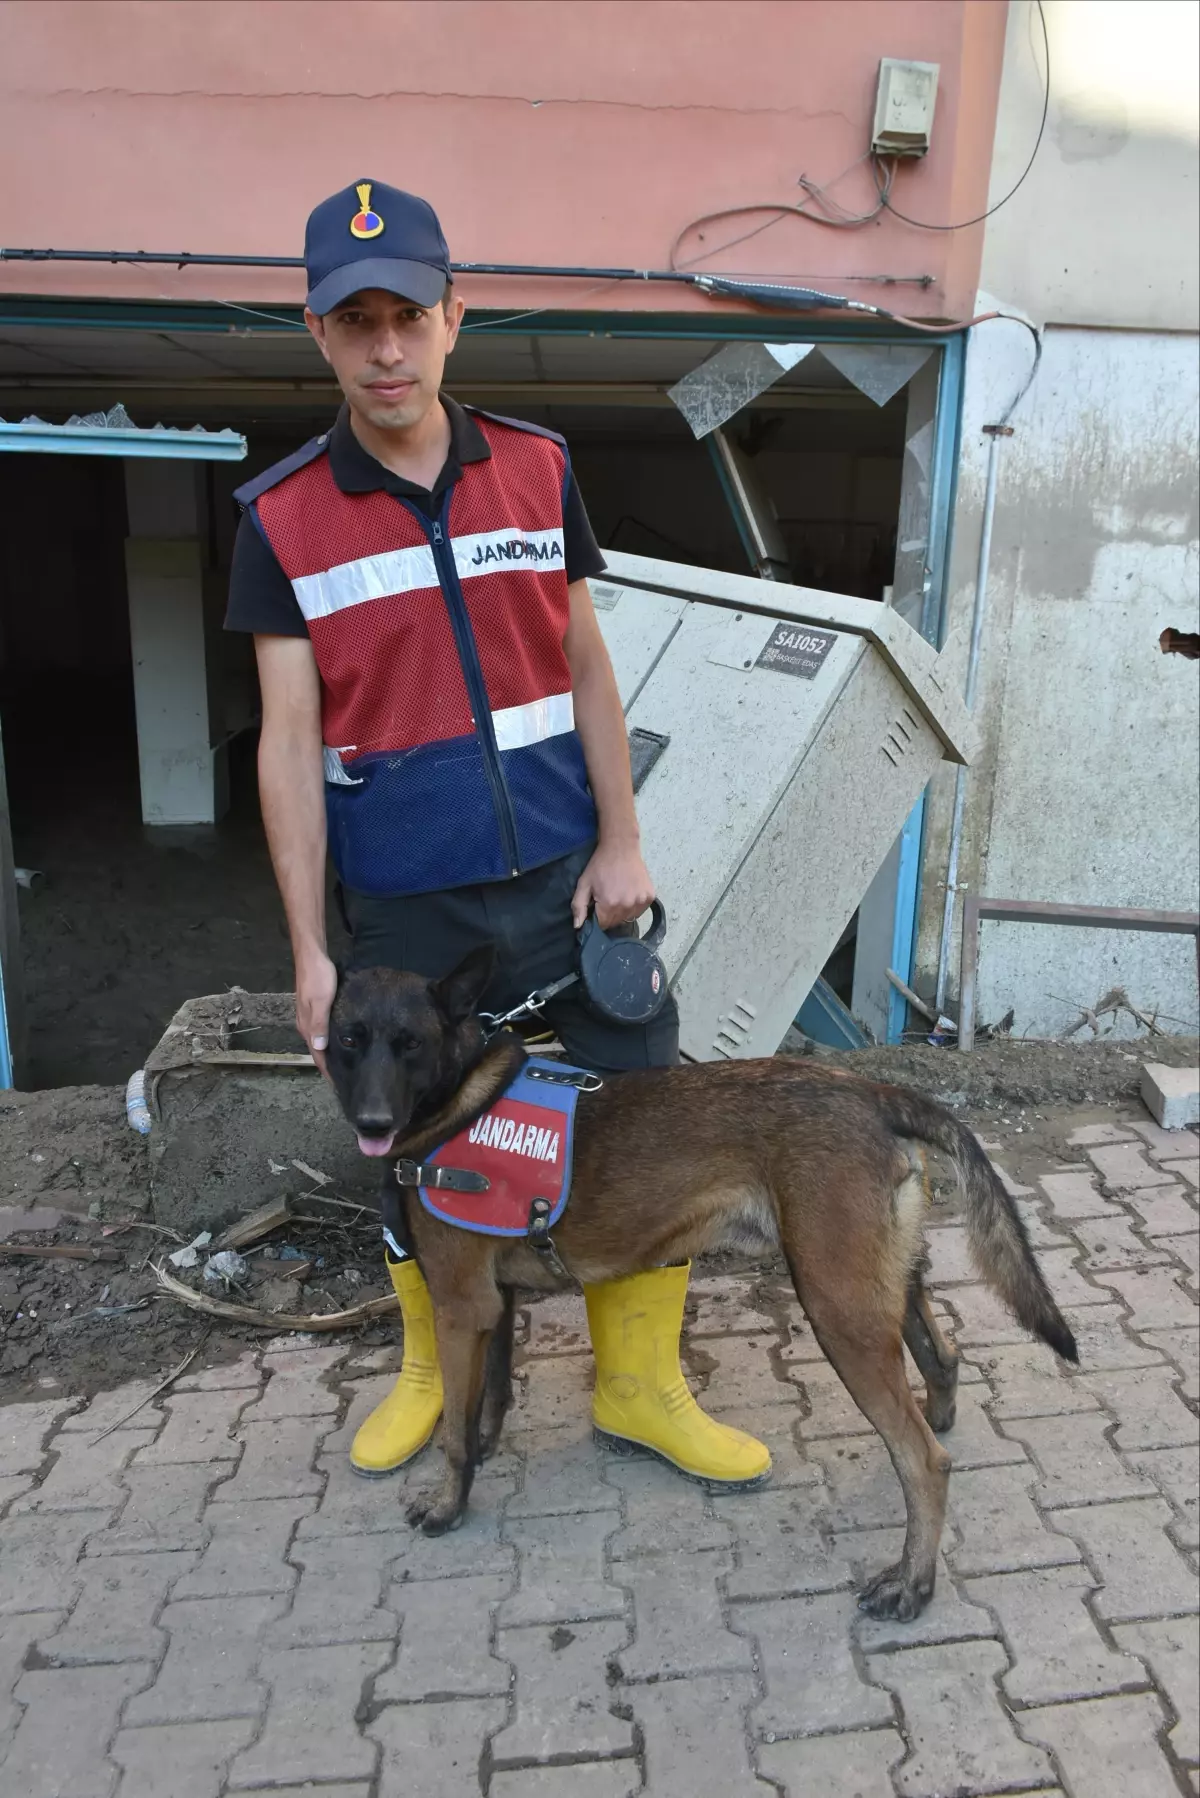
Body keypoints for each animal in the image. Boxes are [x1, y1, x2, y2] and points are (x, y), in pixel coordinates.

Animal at [329, 949, 1079, 1625]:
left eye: (410, 1044)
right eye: (348, 1041)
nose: (371, 1125)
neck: (460, 1096)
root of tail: (871, 1092)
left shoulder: (460, 1307)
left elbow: (454, 1435)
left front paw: (447, 1505)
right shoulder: (494, 1303)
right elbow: (488, 1398)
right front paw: (484, 1451)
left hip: (838, 1308)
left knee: (925, 1461)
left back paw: (913, 1584)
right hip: (881, 1283)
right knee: (942, 1359)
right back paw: (939, 1415)